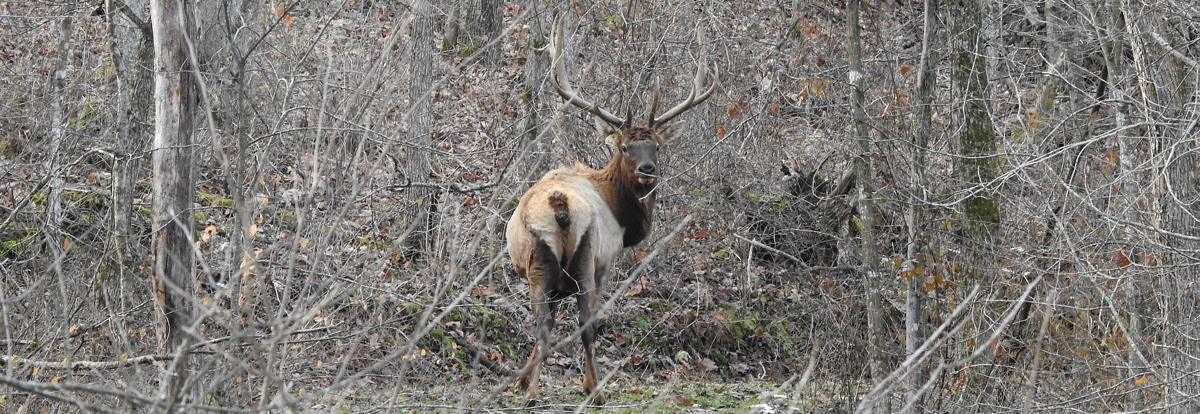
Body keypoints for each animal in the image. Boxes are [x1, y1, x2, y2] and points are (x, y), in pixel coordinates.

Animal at [504, 17, 716, 404]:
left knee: (541, 322)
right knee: (586, 324)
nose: (648, 169)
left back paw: (532, 390)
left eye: (656, 145)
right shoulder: (607, 260)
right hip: (586, 258)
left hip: (538, 263)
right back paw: (594, 389)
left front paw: (520, 381)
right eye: (625, 146)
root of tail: (559, 202)